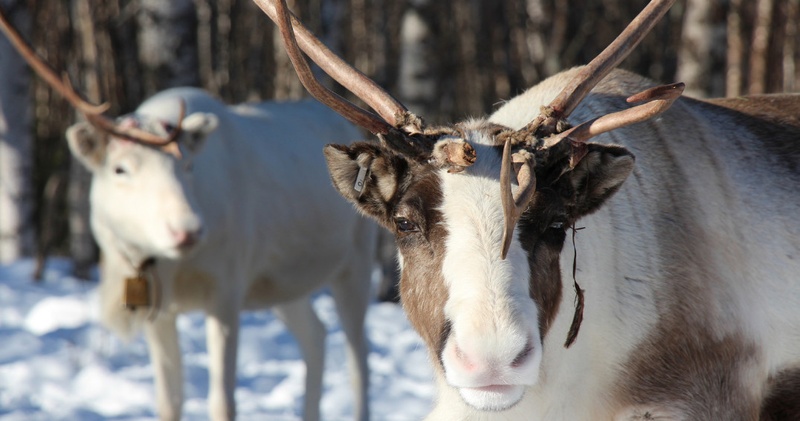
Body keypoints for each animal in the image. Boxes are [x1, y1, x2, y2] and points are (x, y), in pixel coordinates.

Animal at [0, 11, 375, 421]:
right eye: (119, 169)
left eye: (189, 165)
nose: (189, 231)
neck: (170, 267)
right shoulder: (159, 308)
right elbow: (169, 400)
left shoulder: (227, 292)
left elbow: (223, 400)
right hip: (283, 284)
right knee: (316, 336)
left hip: (355, 262)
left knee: (358, 361)